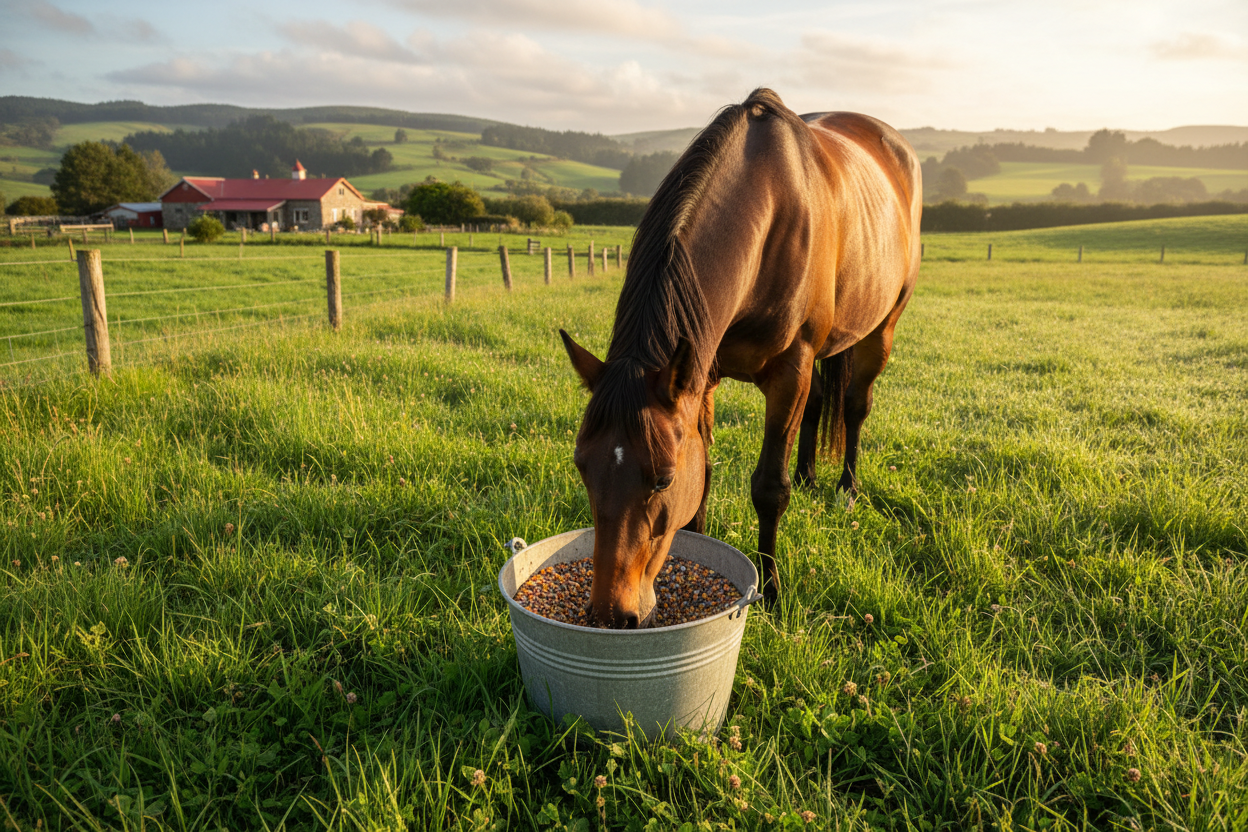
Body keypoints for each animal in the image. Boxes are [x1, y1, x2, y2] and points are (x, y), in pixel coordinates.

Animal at [560, 88, 922, 628]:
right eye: (582, 466)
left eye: (662, 479)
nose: (610, 615)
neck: (768, 217)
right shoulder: (700, 374)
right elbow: (706, 474)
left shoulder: (789, 370)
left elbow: (769, 488)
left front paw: (771, 590)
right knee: (819, 403)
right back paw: (809, 476)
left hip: (882, 328)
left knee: (856, 407)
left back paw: (846, 490)